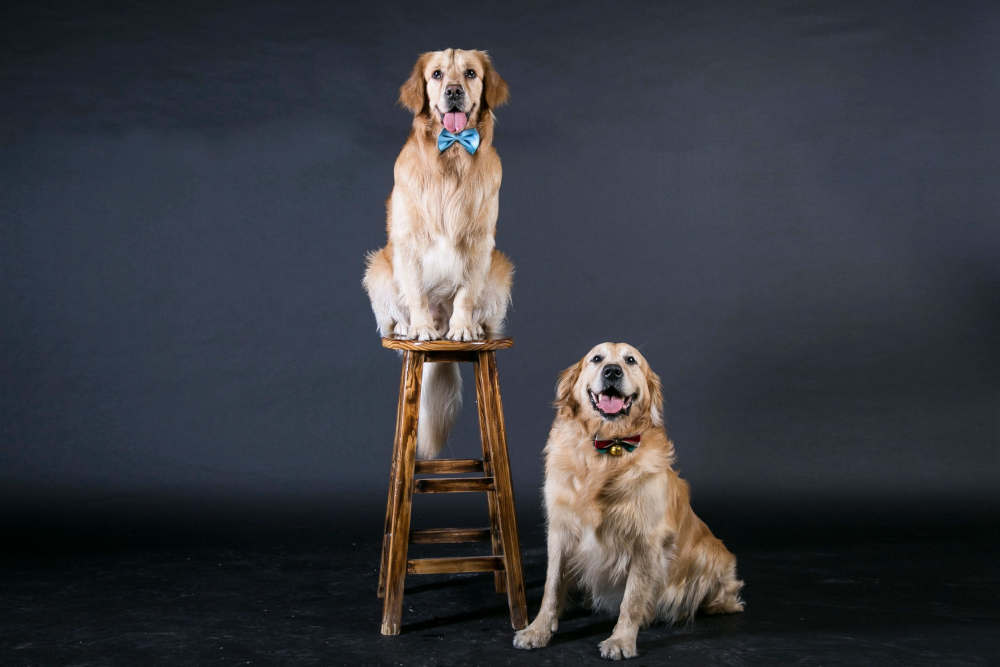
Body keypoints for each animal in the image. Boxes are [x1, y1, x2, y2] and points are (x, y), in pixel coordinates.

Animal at [362, 51, 516, 460]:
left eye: (470, 73)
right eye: (435, 74)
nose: (454, 91)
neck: (453, 156)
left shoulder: (480, 244)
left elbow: (465, 294)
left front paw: (462, 327)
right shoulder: (407, 241)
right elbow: (415, 292)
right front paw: (418, 327)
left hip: (501, 267)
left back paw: (473, 328)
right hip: (377, 266)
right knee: (391, 317)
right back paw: (409, 327)